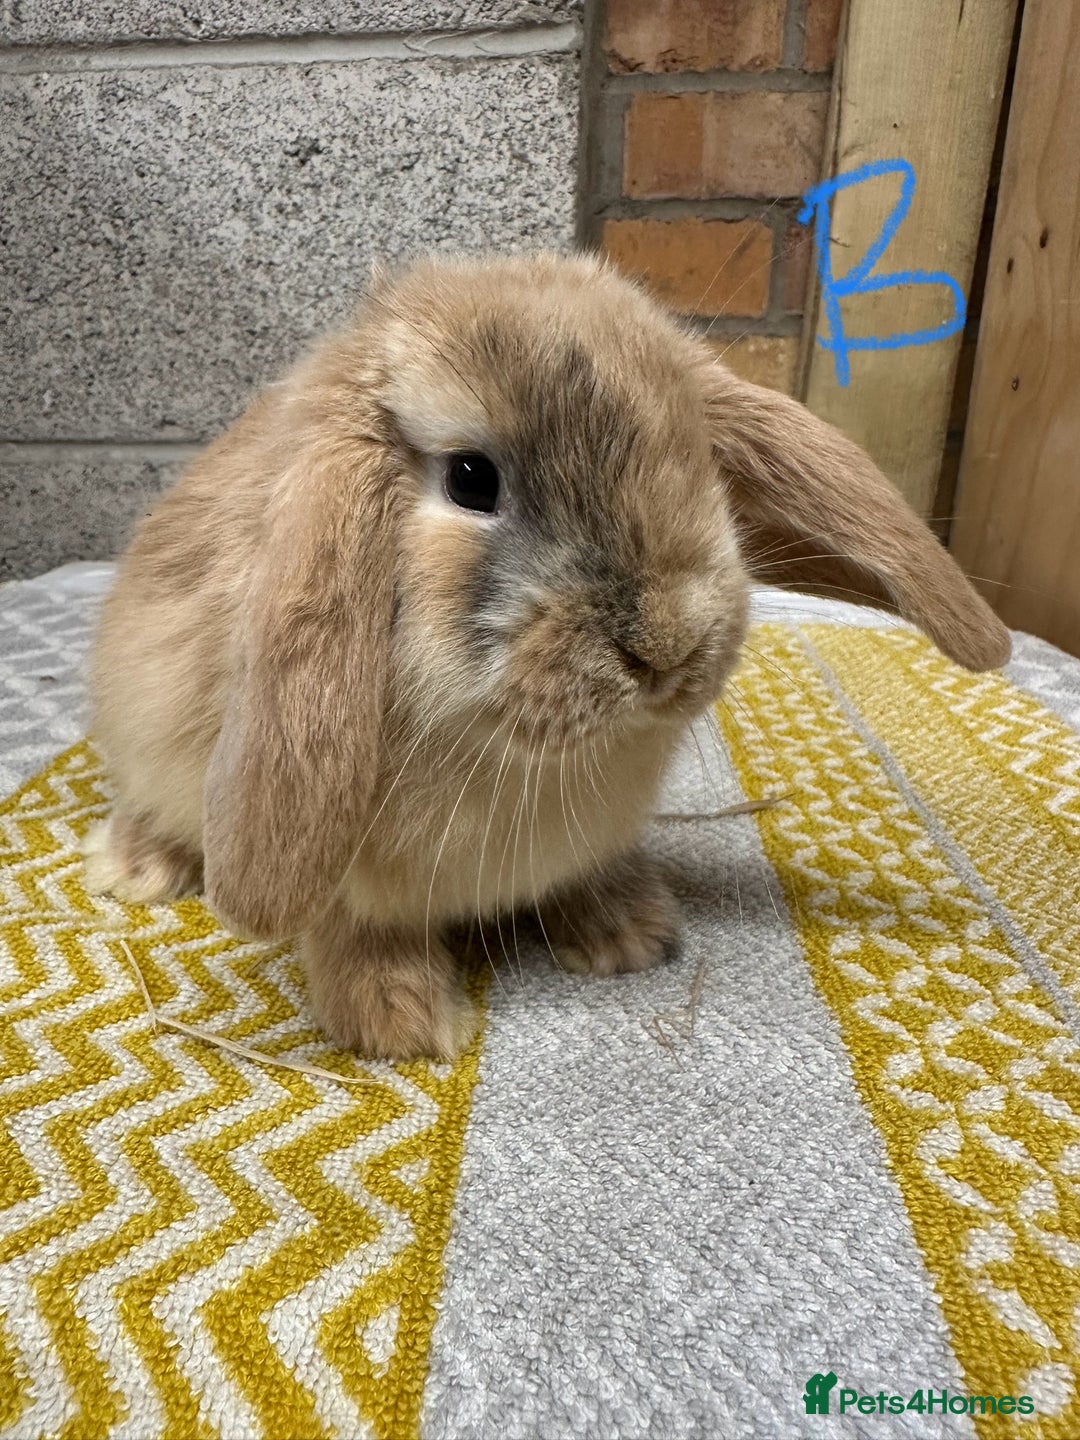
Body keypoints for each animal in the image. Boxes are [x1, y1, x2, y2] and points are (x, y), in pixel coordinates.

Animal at [85, 251, 1010, 1060]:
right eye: (470, 478)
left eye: (695, 456)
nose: (668, 645)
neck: (514, 756)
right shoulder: (343, 872)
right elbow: (356, 931)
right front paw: (400, 1022)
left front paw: (629, 937)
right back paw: (136, 867)